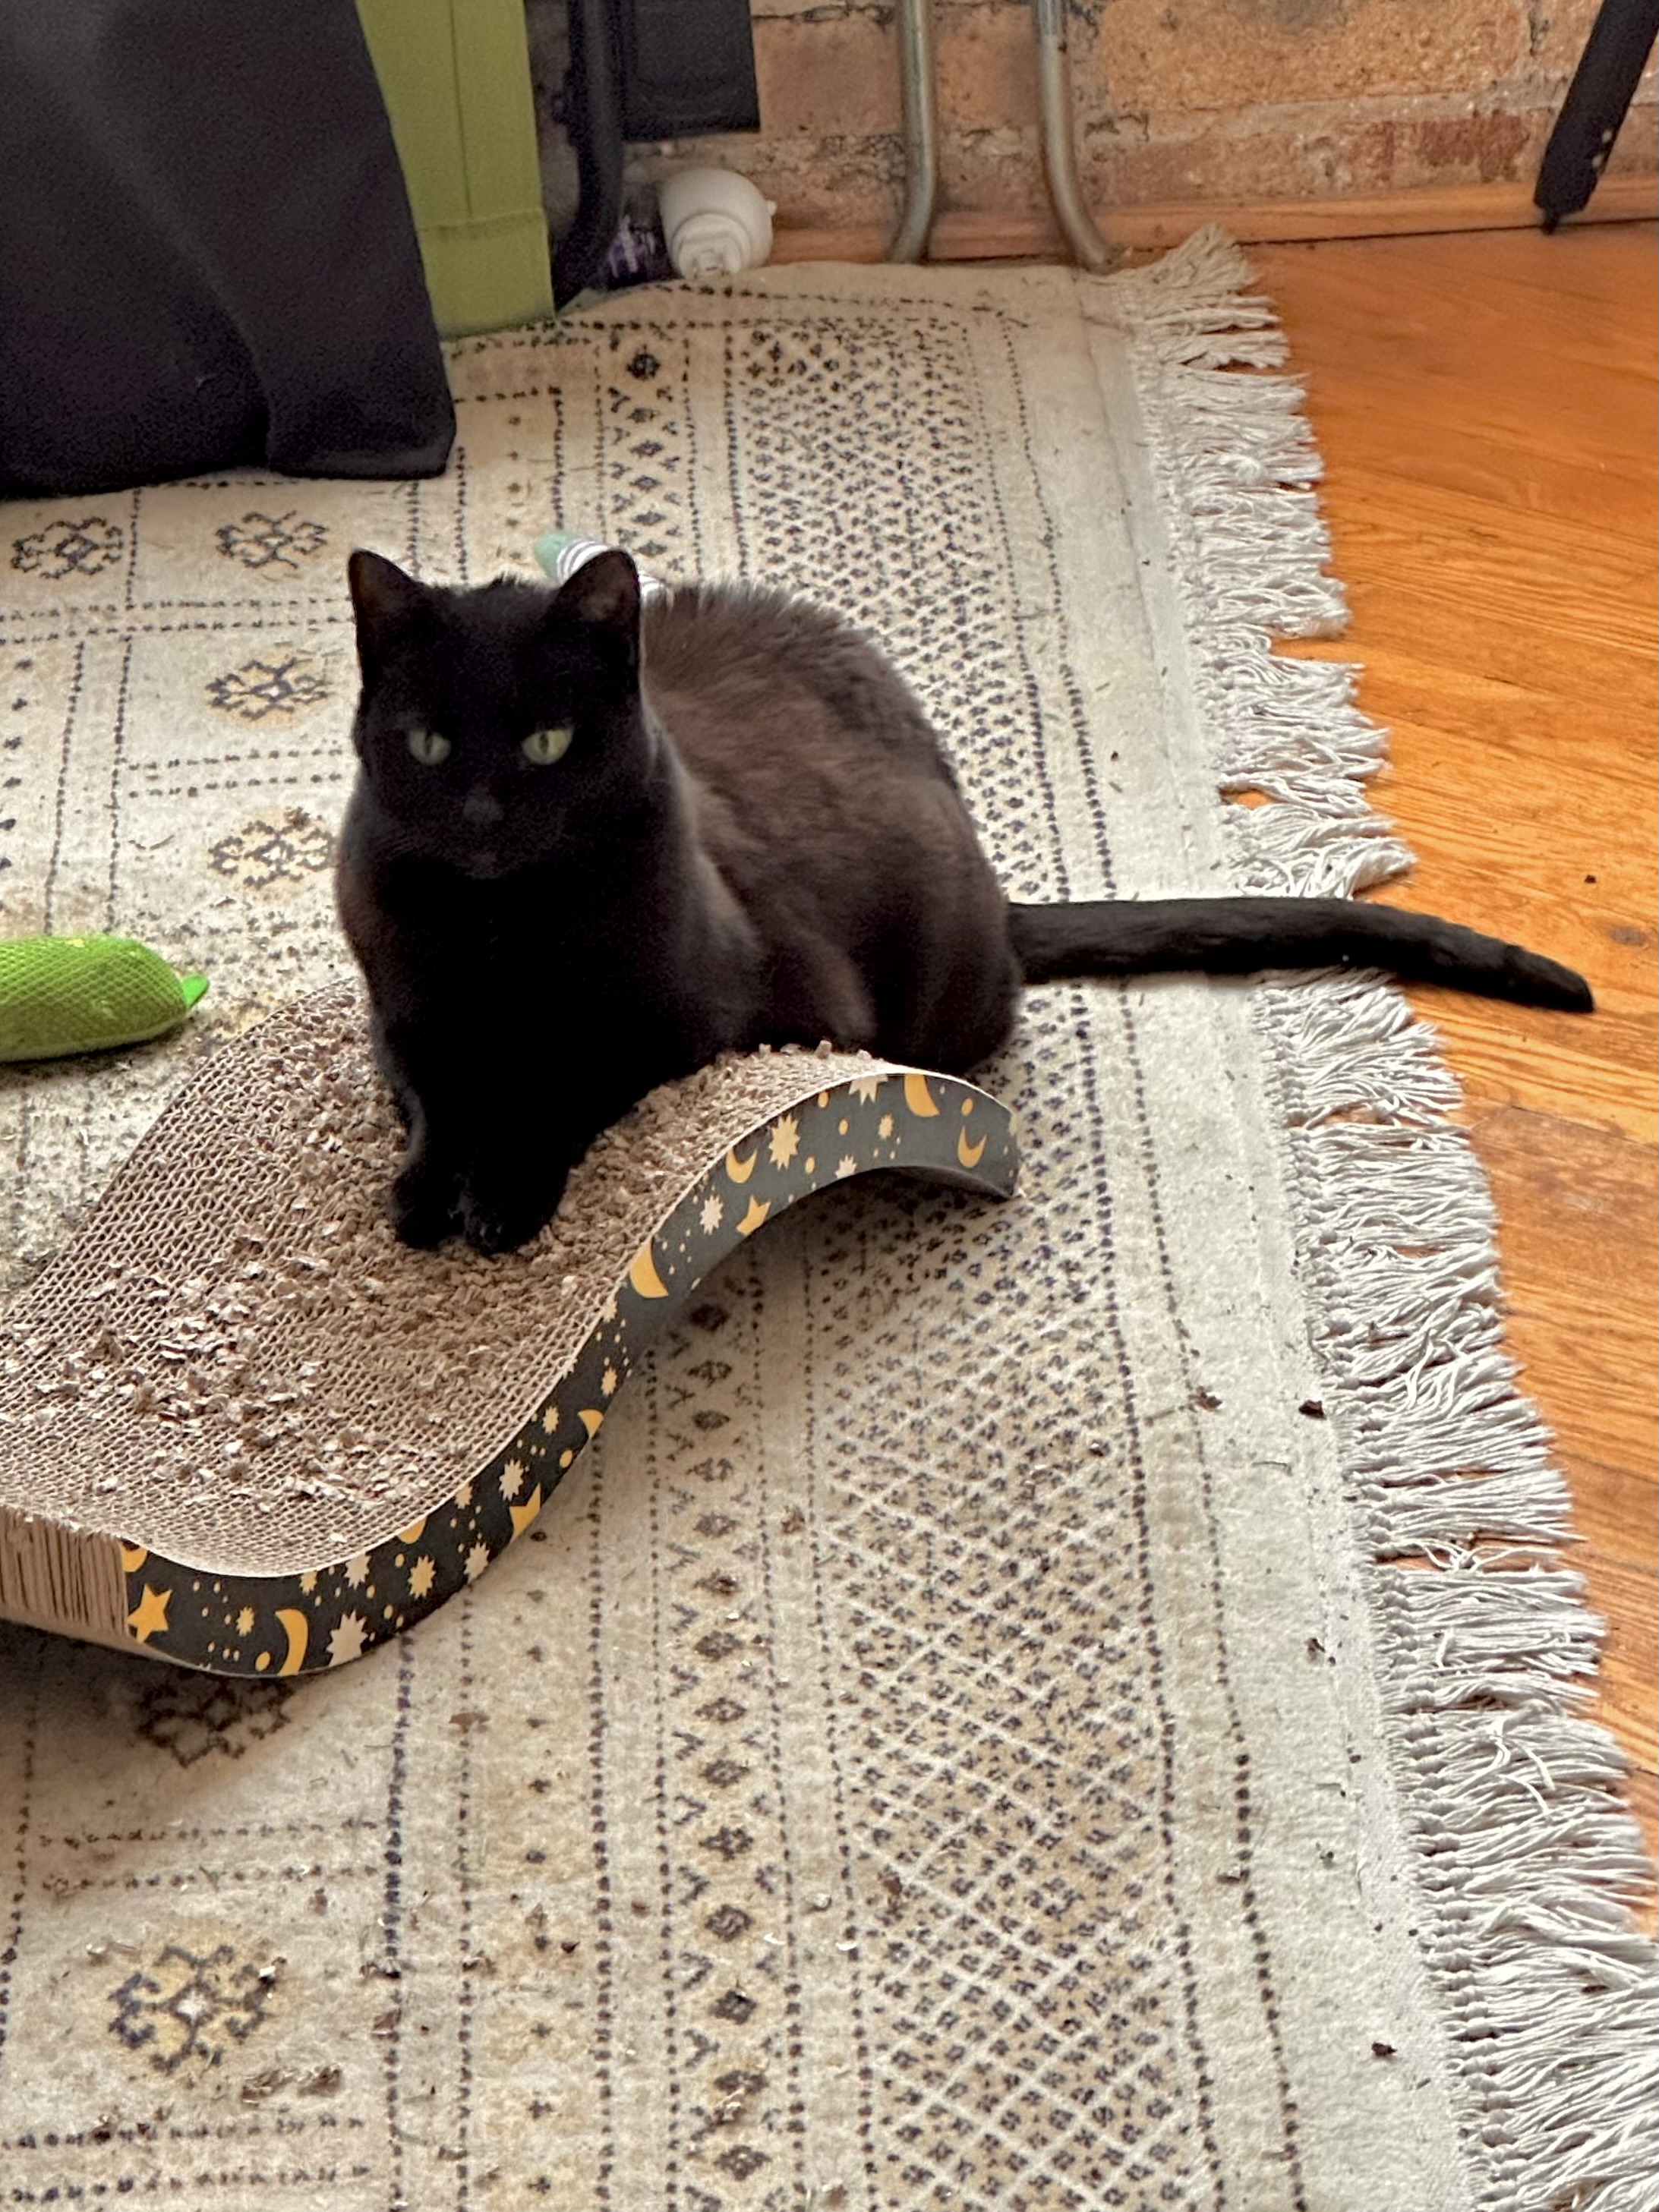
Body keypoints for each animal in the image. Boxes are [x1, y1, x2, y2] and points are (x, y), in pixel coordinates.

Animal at [335, 547, 1592, 1255]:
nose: (484, 814)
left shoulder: (707, 1025)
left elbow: (567, 1092)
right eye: (429, 743)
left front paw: (502, 1199)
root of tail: (997, 885)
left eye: (547, 742)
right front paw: (425, 1194)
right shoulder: (401, 1014)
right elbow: (435, 1097)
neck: (500, 931)